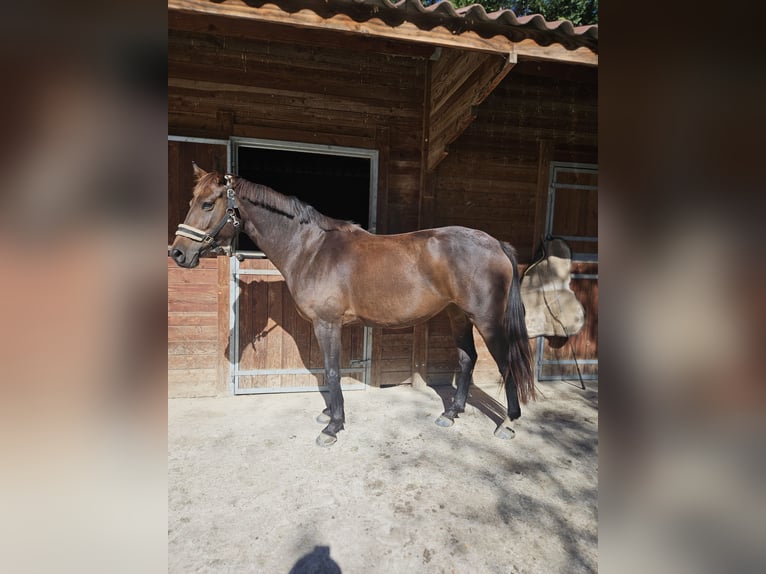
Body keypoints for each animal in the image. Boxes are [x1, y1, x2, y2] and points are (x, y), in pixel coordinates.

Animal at [171, 164, 534, 446]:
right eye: (191, 201)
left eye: (207, 204)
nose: (178, 253)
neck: (311, 250)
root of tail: (496, 243)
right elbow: (329, 371)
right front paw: (328, 413)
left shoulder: (327, 324)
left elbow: (332, 371)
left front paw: (333, 426)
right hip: (458, 314)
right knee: (467, 358)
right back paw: (451, 413)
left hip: (487, 319)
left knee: (506, 362)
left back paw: (508, 422)